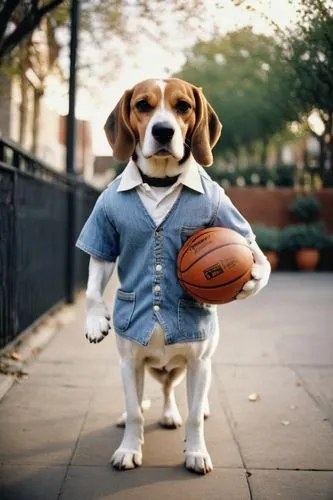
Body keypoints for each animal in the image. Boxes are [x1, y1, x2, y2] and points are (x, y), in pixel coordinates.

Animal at [80, 76, 270, 474]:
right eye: (143, 105)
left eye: (183, 106)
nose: (163, 130)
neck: (161, 180)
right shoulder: (104, 223)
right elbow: (94, 277)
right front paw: (129, 449)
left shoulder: (198, 363)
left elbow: (195, 414)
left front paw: (196, 452)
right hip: (138, 365)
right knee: (149, 394)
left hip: (194, 364)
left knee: (175, 391)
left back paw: (177, 413)